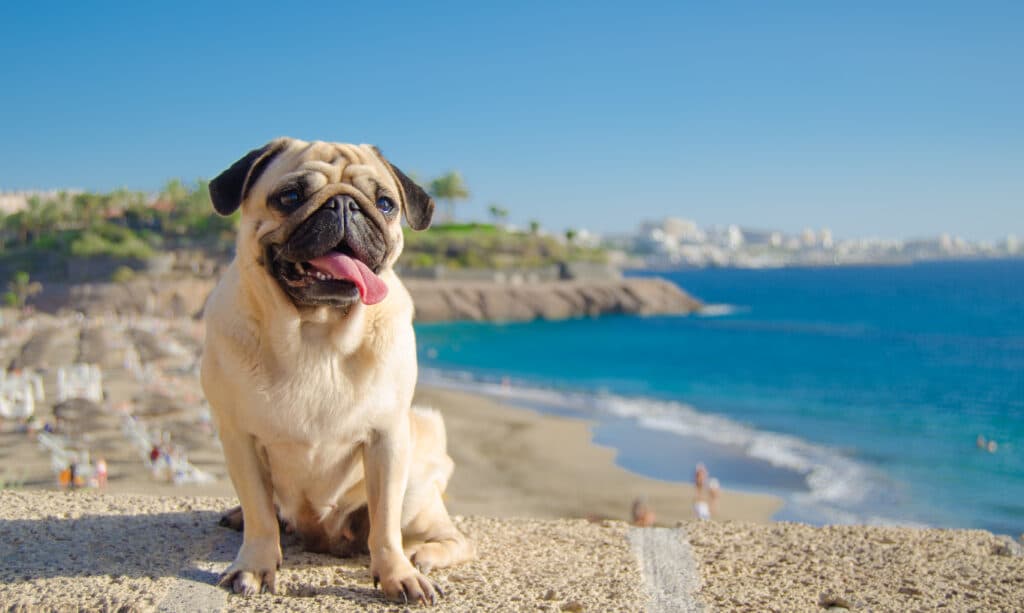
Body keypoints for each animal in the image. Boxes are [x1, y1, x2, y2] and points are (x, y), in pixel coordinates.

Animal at [202, 138, 475, 605]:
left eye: (385, 204)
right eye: (290, 196)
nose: (345, 204)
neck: (316, 332)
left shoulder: (387, 438)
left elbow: (385, 524)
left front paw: (397, 574)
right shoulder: (239, 437)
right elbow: (260, 514)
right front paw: (254, 566)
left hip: (416, 485)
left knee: (451, 537)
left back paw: (422, 555)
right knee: (271, 513)